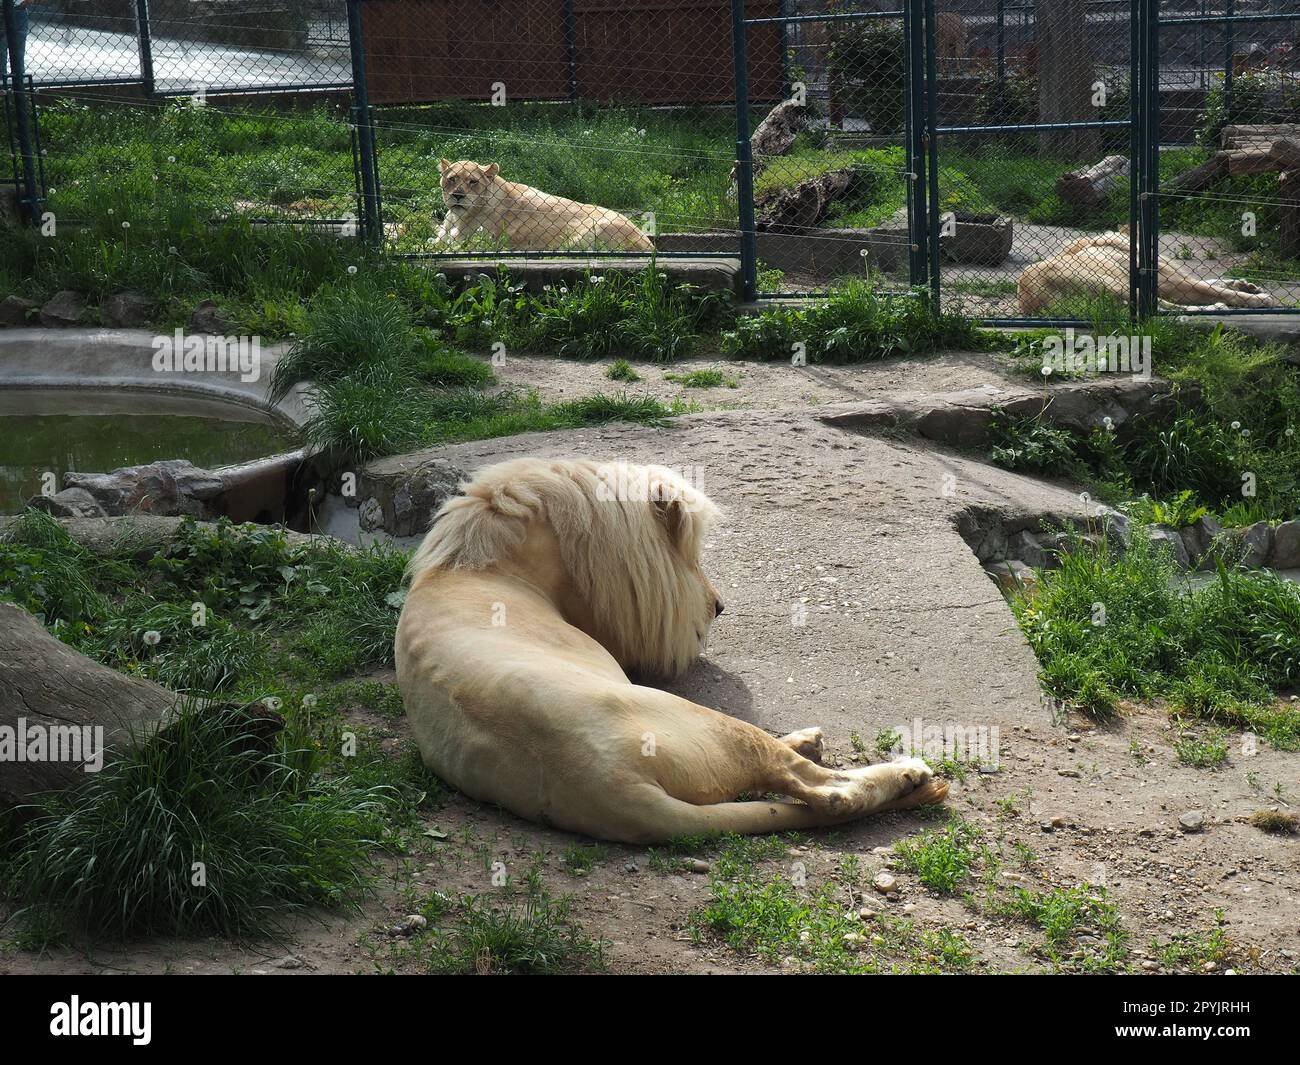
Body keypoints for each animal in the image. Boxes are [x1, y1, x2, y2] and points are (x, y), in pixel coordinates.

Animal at [395, 457, 946, 842]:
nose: (720, 607)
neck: (474, 568)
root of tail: (611, 787)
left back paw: (812, 742)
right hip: (707, 723)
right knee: (825, 793)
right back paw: (912, 776)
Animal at [1013, 231, 1268, 314]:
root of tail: (1031, 297)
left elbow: (1213, 281)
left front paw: (1247, 285)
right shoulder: (1173, 283)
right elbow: (1214, 288)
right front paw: (1258, 298)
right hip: (1115, 283)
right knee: (1161, 308)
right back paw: (1216, 307)